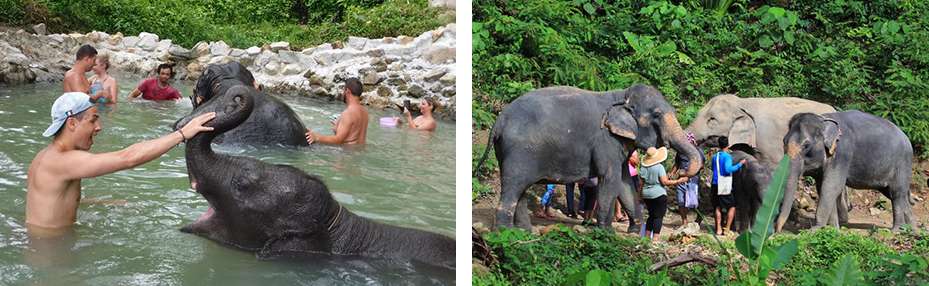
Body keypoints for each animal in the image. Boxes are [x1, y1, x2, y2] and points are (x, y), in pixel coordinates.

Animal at [474, 84, 700, 231]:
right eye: (657, 115)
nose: (680, 170)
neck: (621, 96)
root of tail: (499, 120)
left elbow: (625, 182)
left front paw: (635, 232)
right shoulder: (606, 140)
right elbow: (610, 178)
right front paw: (605, 232)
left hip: (507, 152)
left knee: (519, 191)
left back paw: (524, 231)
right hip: (519, 153)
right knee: (514, 187)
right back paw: (506, 234)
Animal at [776, 110, 912, 231]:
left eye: (806, 145)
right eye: (783, 142)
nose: (777, 231)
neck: (823, 119)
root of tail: (906, 137)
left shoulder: (842, 154)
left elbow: (831, 186)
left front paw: (814, 230)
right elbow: (822, 187)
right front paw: (833, 230)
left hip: (902, 164)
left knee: (897, 193)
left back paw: (896, 230)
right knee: (896, 195)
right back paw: (911, 230)